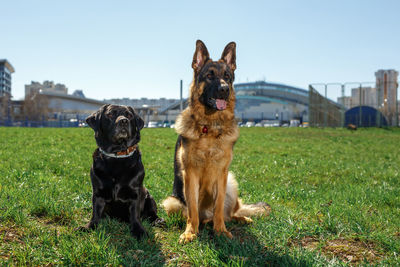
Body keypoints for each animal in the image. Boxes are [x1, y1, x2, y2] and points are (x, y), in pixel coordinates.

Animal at [83, 104, 162, 239]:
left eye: (129, 115)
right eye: (110, 114)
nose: (124, 121)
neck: (117, 155)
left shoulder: (135, 194)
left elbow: (135, 215)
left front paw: (139, 231)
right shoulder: (98, 193)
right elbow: (95, 213)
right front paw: (89, 227)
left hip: (149, 197)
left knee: (152, 212)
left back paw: (158, 220)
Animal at [162, 40, 268, 244]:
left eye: (227, 76)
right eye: (209, 76)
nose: (225, 89)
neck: (210, 128)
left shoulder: (222, 174)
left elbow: (219, 207)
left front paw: (221, 231)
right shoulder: (191, 174)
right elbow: (192, 211)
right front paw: (190, 232)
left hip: (231, 184)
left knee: (229, 213)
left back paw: (238, 218)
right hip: (172, 202)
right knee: (195, 214)